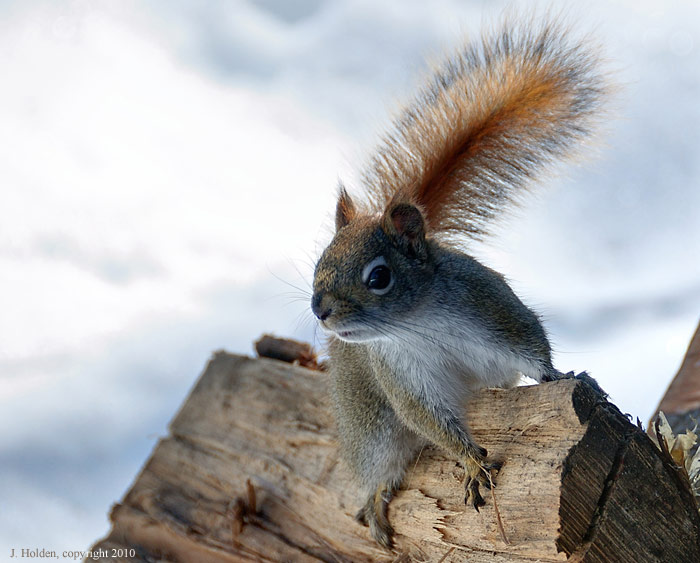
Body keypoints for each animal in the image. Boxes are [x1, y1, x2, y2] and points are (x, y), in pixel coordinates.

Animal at [311, 19, 607, 550]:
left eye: (379, 277)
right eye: (320, 261)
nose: (319, 308)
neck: (417, 321)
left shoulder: (490, 308)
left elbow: (532, 349)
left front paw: (562, 376)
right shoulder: (402, 372)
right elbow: (432, 419)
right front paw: (470, 461)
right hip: (368, 420)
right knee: (381, 460)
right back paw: (376, 499)